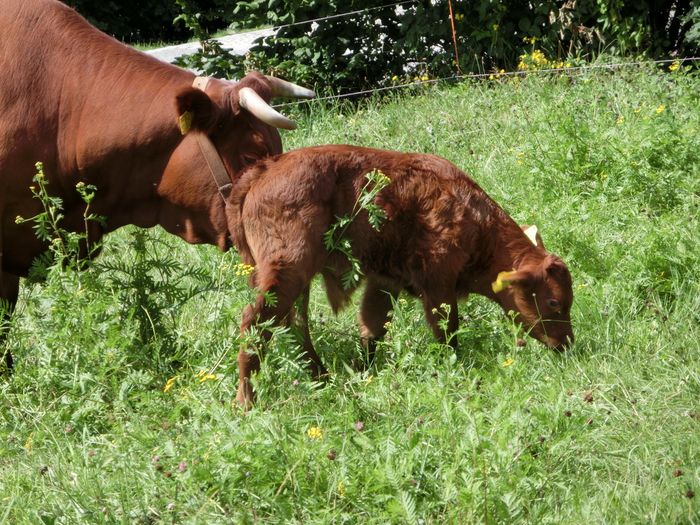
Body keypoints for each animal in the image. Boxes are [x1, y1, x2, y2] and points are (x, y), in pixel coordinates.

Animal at [227, 144, 572, 406]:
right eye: (554, 302)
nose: (566, 344)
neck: (472, 217)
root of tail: (265, 169)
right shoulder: (438, 283)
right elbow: (447, 329)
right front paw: (456, 367)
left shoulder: (385, 282)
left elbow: (373, 327)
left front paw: (362, 372)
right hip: (287, 270)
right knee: (255, 322)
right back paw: (247, 401)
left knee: (294, 324)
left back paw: (322, 378)